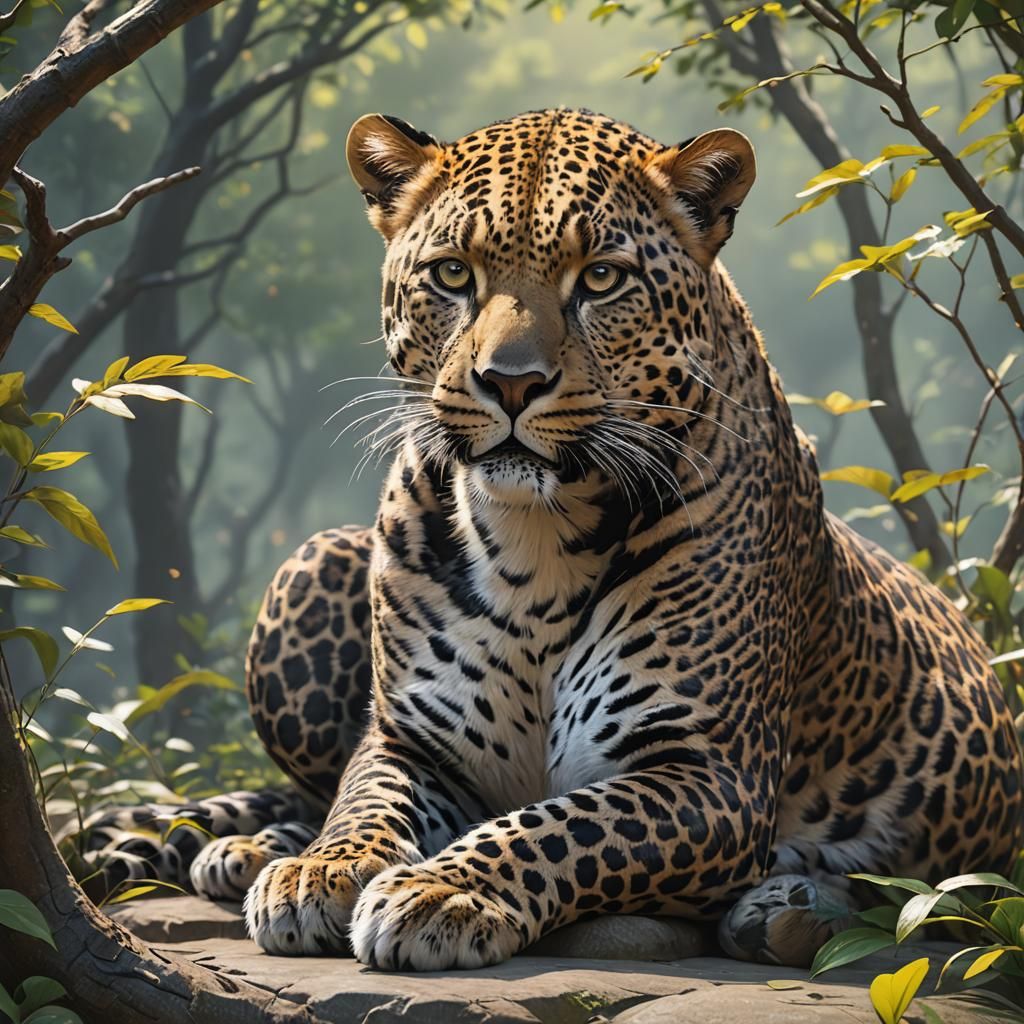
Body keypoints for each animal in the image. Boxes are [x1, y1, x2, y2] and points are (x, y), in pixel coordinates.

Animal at [82, 108, 1023, 972]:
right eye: (452, 274)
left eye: (600, 278)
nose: (510, 382)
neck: (534, 532)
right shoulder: (409, 739)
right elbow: (364, 800)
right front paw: (324, 870)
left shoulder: (705, 773)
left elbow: (562, 825)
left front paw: (443, 889)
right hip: (308, 560)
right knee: (304, 789)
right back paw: (248, 848)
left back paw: (789, 908)